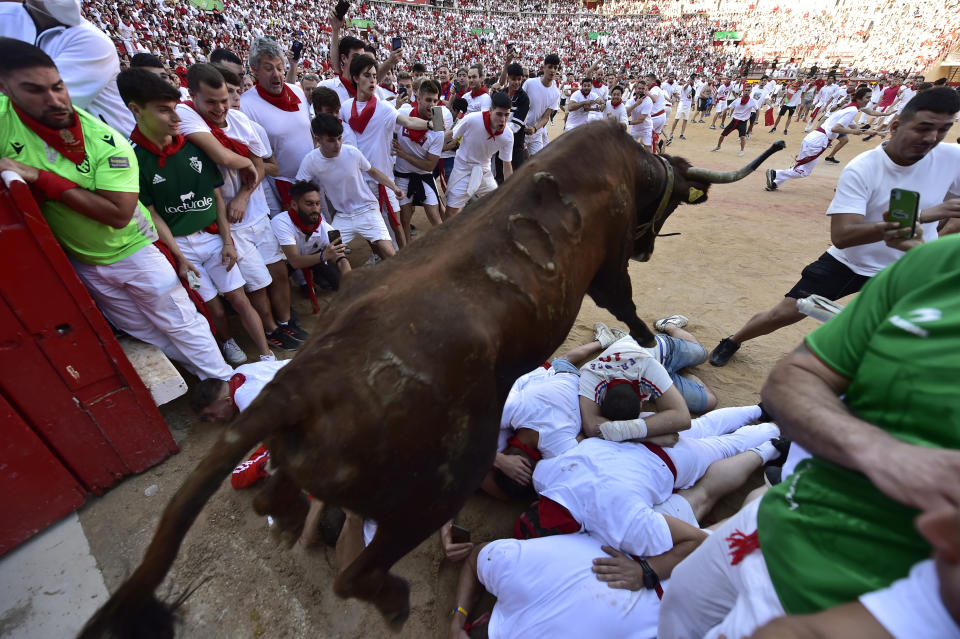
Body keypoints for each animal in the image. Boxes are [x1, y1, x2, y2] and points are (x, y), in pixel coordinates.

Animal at [79, 121, 784, 639]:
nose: (649, 245)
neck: (623, 166)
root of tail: (299, 387)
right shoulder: (608, 268)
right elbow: (626, 304)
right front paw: (641, 340)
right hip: (438, 486)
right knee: (358, 570)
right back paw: (391, 600)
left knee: (274, 496)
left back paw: (287, 513)